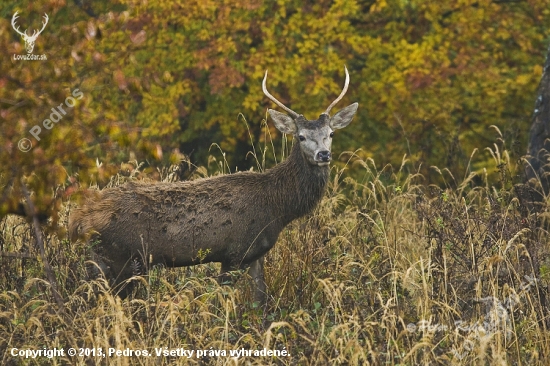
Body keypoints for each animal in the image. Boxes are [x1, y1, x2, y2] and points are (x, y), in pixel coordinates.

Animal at [69, 67, 360, 302]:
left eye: (331, 134)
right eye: (301, 136)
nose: (323, 154)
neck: (277, 208)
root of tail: (78, 219)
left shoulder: (255, 253)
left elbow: (261, 301)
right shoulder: (233, 252)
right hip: (120, 257)